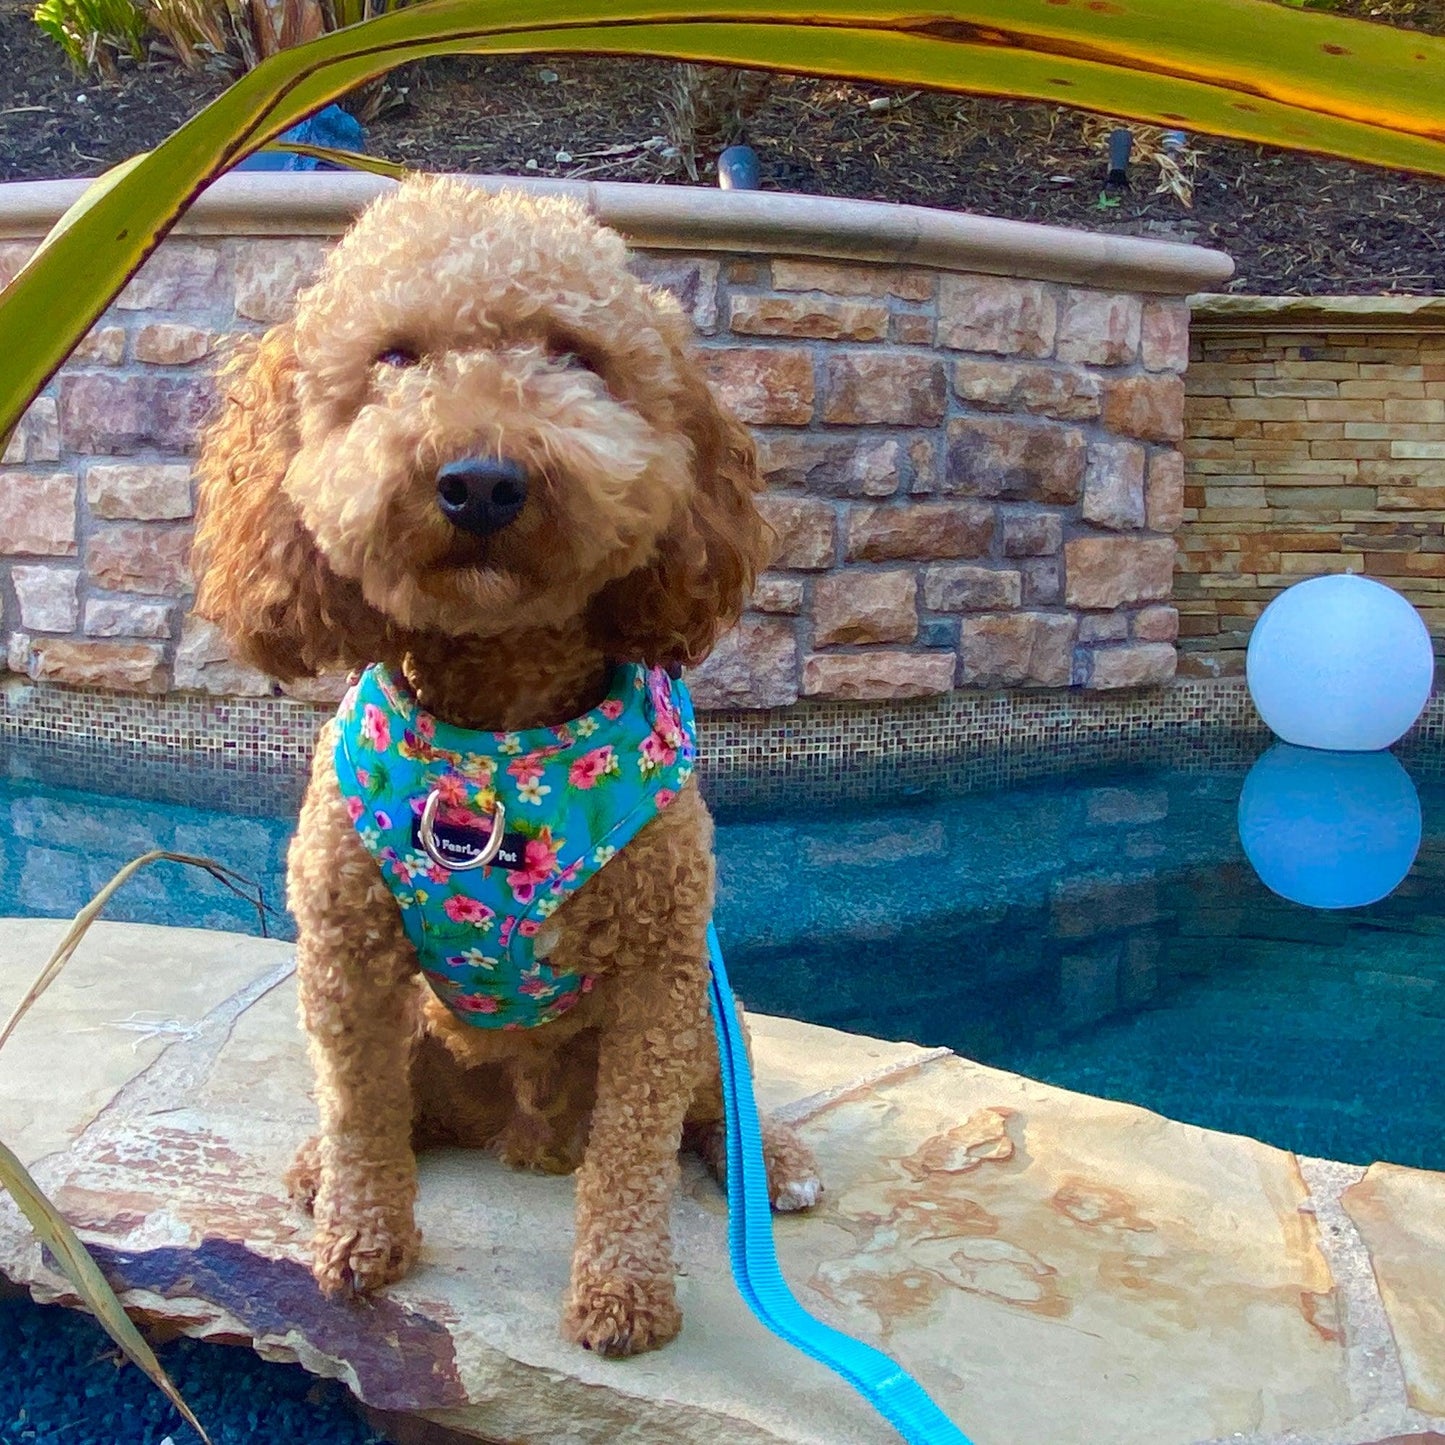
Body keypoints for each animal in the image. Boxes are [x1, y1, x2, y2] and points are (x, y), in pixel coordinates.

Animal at [195, 174, 826, 1358]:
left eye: (575, 355)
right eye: (394, 356)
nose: (480, 481)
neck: (500, 741)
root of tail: (524, 1128)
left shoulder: (662, 971)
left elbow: (633, 1152)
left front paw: (624, 1290)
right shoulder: (347, 951)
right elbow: (359, 1106)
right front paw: (363, 1236)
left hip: (706, 1018)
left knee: (717, 1103)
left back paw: (773, 1165)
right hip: (425, 1028)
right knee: (396, 1106)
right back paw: (321, 1165)